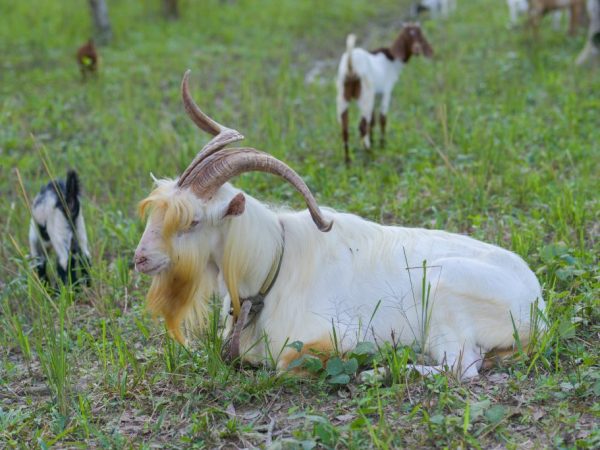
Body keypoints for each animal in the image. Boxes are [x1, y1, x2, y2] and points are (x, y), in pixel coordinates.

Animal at [134, 70, 548, 380]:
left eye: (192, 220)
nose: (140, 259)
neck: (273, 267)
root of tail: (538, 312)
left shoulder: (334, 335)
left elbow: (287, 364)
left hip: (444, 290)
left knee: (461, 368)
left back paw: (381, 371)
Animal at [336, 23, 434, 164]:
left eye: (420, 36)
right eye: (407, 36)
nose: (417, 49)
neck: (391, 60)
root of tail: (351, 66)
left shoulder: (376, 95)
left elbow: (373, 121)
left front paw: (373, 141)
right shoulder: (386, 91)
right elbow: (382, 118)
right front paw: (382, 145)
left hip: (343, 95)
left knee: (345, 128)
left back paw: (348, 161)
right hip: (365, 94)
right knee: (362, 126)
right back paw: (370, 153)